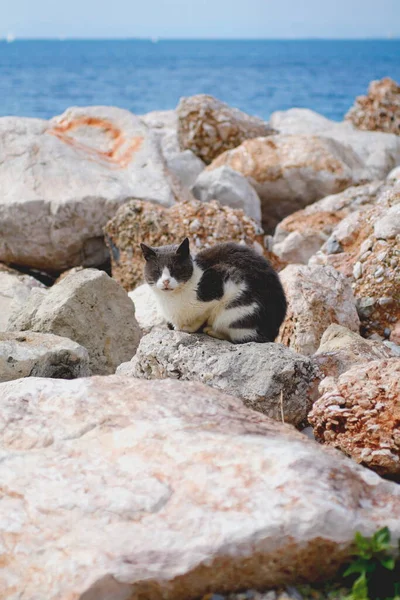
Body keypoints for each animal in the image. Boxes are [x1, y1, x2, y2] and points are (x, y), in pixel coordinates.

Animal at [139, 238, 286, 344]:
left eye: (175, 270)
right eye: (157, 271)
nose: (166, 281)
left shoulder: (228, 281)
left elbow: (203, 315)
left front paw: (188, 327)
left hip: (236, 313)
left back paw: (212, 331)